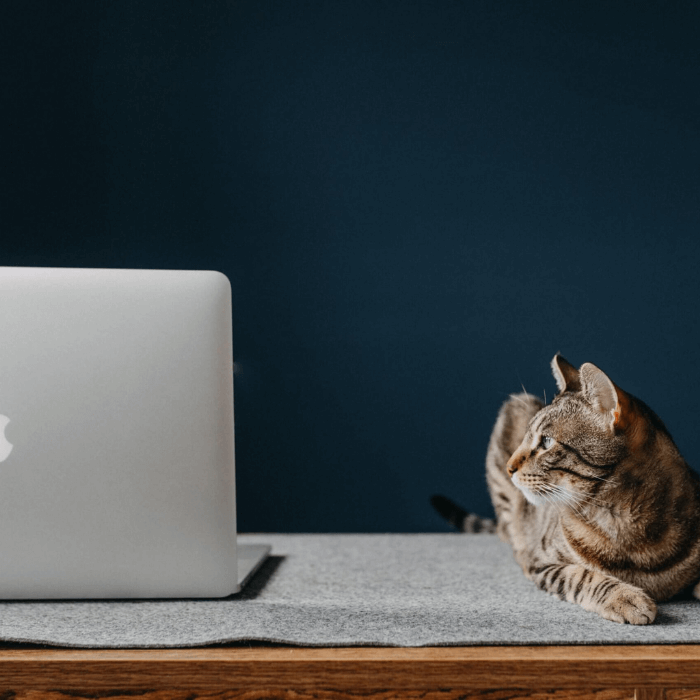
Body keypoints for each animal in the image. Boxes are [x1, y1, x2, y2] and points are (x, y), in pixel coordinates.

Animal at [432, 356, 700, 624]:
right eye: (527, 438)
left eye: (546, 442)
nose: (510, 467)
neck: (625, 525)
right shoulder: (543, 563)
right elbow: (583, 577)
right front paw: (624, 597)